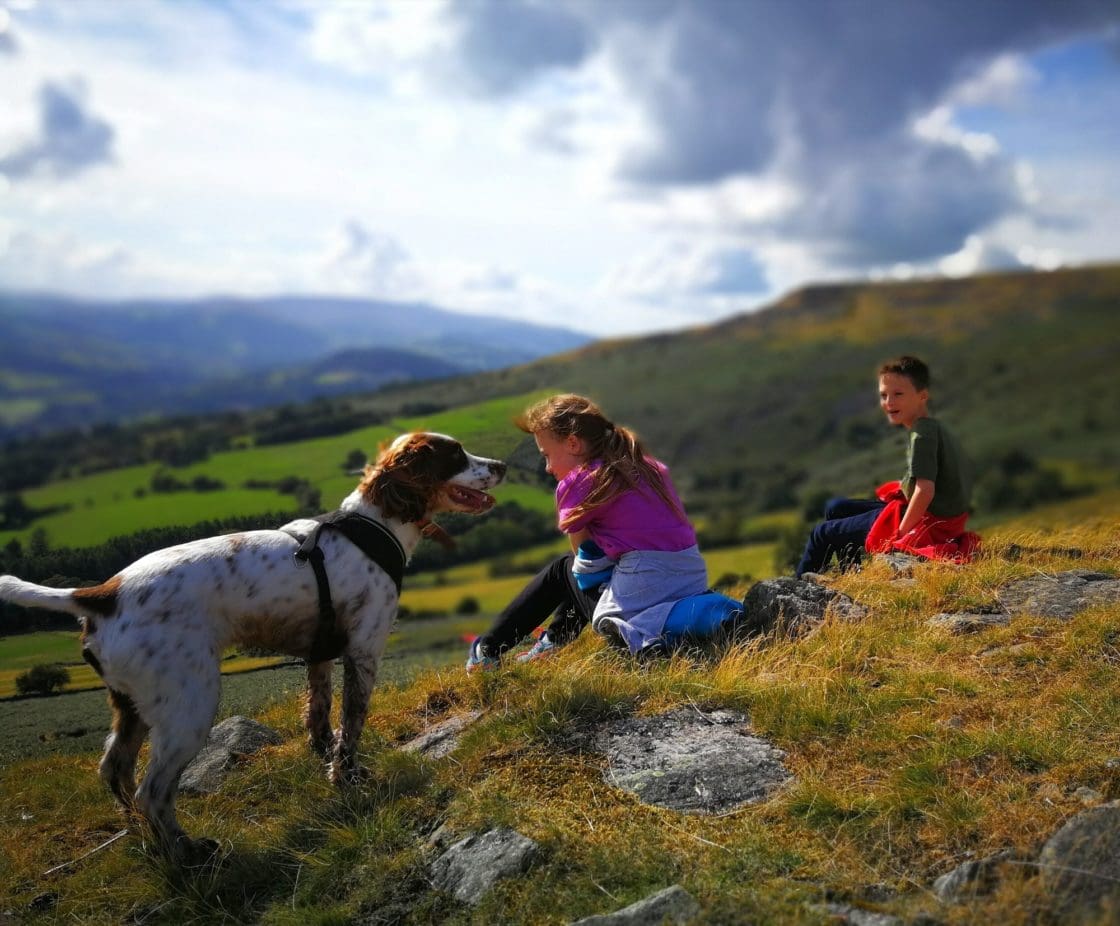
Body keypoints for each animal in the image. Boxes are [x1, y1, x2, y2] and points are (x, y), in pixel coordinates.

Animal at [0, 432, 506, 859]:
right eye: (455, 455)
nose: (501, 465)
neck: (372, 525)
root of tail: (103, 594)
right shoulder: (363, 650)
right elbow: (352, 725)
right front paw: (348, 778)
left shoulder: (321, 653)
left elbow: (320, 716)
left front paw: (323, 759)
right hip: (189, 703)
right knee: (153, 790)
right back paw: (188, 853)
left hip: (132, 704)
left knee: (115, 771)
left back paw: (145, 840)